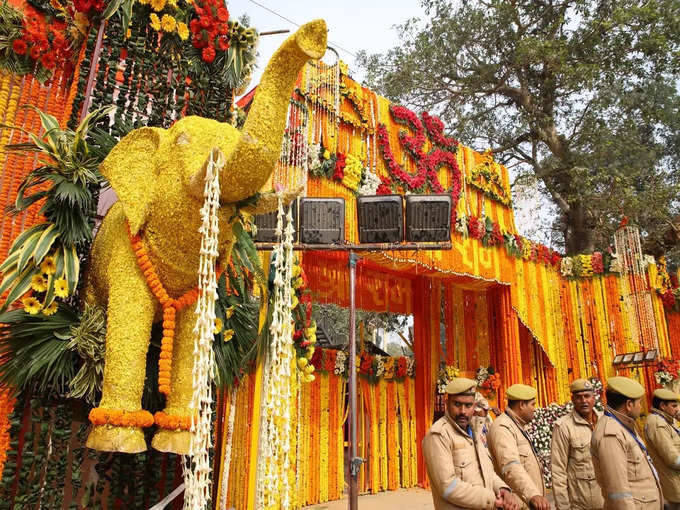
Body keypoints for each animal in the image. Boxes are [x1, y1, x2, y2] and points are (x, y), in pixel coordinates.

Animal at [83, 18, 328, 454]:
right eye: (181, 141)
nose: (315, 36)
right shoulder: (128, 247)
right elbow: (130, 316)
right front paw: (118, 441)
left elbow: (193, 328)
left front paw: (180, 443)